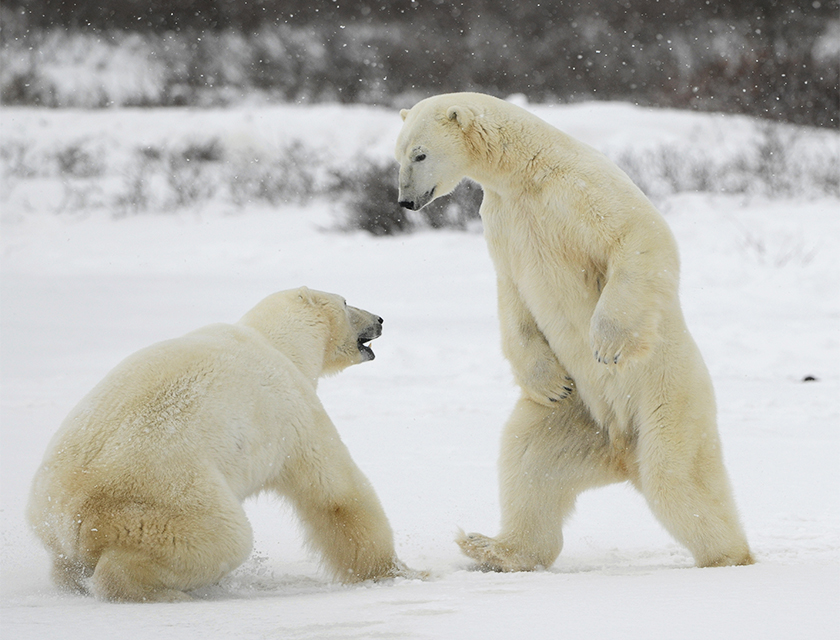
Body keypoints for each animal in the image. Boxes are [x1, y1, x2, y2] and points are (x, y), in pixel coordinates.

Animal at [27, 287, 411, 602]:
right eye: (346, 302)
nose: (379, 319)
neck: (275, 342)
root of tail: (71, 516)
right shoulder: (294, 410)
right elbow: (336, 493)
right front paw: (398, 573)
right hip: (165, 502)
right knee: (223, 538)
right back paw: (166, 592)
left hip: (49, 520)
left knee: (62, 567)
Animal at [395, 92, 753, 570]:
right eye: (397, 155)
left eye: (420, 154)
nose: (404, 201)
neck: (525, 171)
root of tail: (621, 453)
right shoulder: (501, 221)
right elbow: (513, 297)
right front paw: (548, 383)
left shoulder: (580, 189)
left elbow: (637, 234)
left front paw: (606, 343)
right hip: (575, 416)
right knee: (527, 460)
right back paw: (493, 547)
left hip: (667, 396)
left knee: (677, 477)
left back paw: (728, 558)